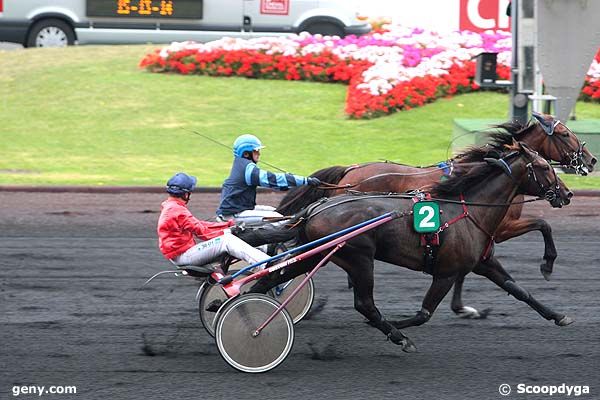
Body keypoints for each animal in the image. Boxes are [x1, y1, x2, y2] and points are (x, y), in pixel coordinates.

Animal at [251, 142, 576, 352]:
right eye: (544, 167)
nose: (567, 193)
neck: (468, 209)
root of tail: (317, 208)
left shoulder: (484, 262)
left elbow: (520, 291)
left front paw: (558, 315)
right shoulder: (446, 272)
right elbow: (424, 314)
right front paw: (399, 327)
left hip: (316, 253)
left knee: (270, 278)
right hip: (358, 258)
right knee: (364, 303)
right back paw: (396, 335)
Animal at [276, 112, 596, 318]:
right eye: (565, 134)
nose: (591, 160)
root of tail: (350, 171)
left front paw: (462, 306)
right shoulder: (502, 227)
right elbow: (543, 224)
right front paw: (548, 264)